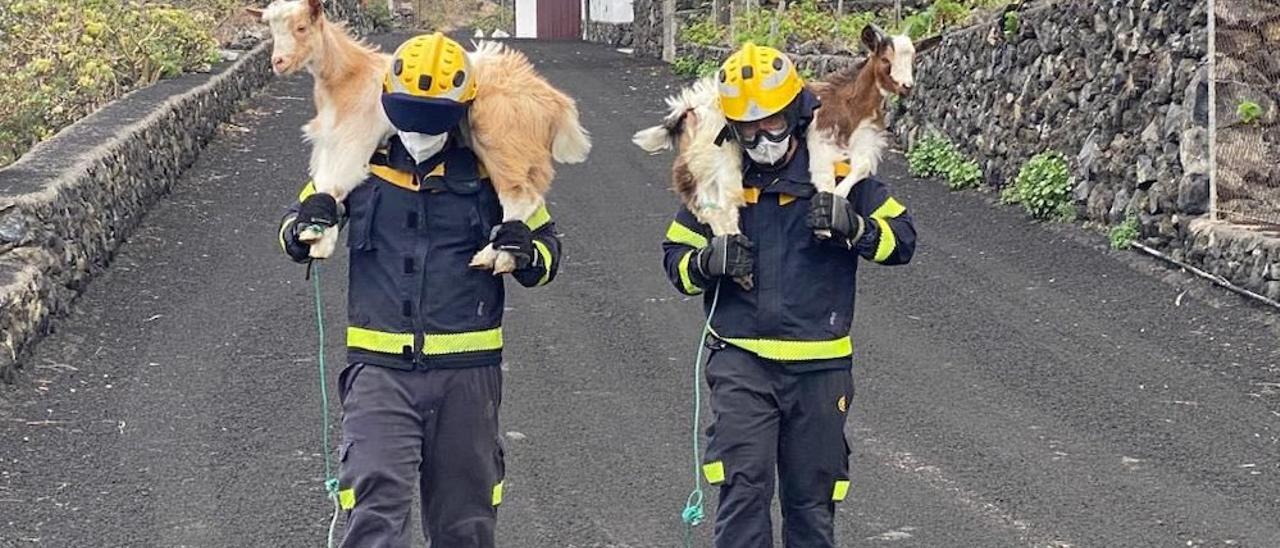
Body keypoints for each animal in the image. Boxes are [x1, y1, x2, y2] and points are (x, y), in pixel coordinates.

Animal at [248, 0, 588, 271]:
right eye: (271, 31)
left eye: (301, 27)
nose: (278, 62)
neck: (347, 78)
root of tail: (553, 100)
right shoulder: (329, 143)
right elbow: (324, 188)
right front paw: (318, 233)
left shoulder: (354, 140)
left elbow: (336, 182)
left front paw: (316, 238)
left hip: (502, 143)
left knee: (521, 198)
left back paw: (497, 256)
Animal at [632, 25, 942, 239]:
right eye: (886, 61)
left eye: (914, 60)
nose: (907, 86)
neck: (848, 103)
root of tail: (690, 108)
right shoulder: (821, 139)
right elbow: (824, 177)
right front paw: (824, 226)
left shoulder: (864, 141)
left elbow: (861, 168)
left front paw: (837, 209)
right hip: (714, 158)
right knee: (716, 204)